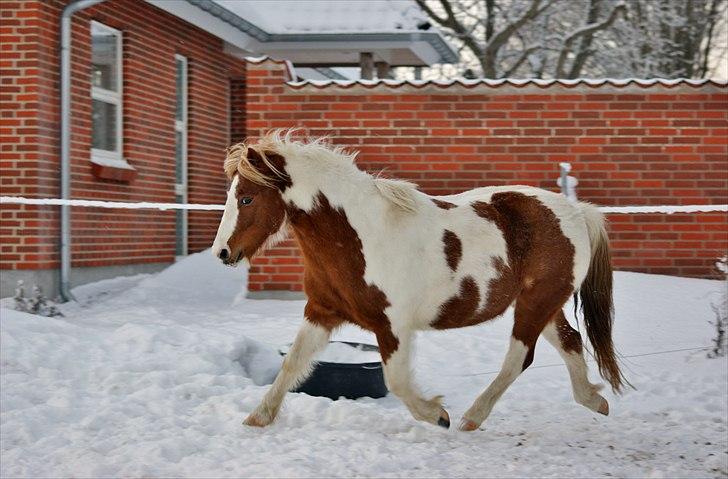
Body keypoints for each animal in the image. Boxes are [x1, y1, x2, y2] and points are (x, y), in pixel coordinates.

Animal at [210, 130, 624, 432]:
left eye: (246, 199)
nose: (222, 253)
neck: (359, 237)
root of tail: (576, 211)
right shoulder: (322, 312)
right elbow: (294, 364)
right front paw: (258, 417)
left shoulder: (393, 325)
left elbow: (396, 381)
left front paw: (437, 414)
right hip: (543, 303)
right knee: (570, 342)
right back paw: (595, 401)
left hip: (536, 303)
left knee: (520, 357)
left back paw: (471, 417)